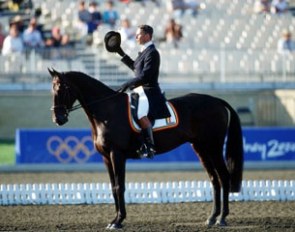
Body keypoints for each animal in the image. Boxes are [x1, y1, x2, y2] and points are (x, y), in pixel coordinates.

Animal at [48, 68, 244, 229]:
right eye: (52, 89)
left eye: (62, 88)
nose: (58, 119)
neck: (106, 111)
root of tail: (216, 100)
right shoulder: (106, 157)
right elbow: (113, 187)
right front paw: (114, 220)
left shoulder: (116, 154)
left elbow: (119, 186)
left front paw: (118, 221)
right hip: (201, 148)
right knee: (214, 179)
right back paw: (212, 218)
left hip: (214, 147)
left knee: (224, 177)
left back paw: (222, 218)